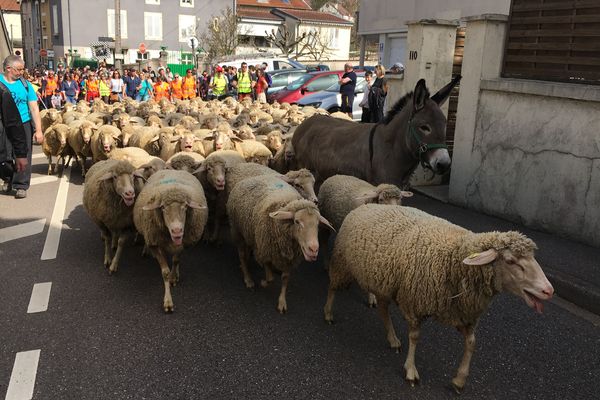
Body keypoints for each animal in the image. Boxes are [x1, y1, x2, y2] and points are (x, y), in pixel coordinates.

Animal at [134, 169, 209, 312]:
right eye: (163, 207)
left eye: (185, 207)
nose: (177, 230)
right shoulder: (155, 243)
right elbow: (165, 273)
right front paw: (168, 301)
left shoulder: (184, 243)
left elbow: (176, 260)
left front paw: (174, 277)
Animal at [227, 174, 336, 312]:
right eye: (297, 221)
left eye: (318, 224)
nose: (313, 249)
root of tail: (252, 177)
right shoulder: (263, 250)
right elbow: (270, 278)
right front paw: (263, 283)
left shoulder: (289, 258)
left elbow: (285, 278)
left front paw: (282, 301)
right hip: (237, 231)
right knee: (241, 254)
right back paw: (248, 278)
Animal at [324, 205, 552, 392]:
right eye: (511, 261)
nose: (548, 290)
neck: (456, 258)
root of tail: (364, 205)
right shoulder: (414, 303)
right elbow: (415, 337)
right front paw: (411, 370)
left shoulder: (461, 312)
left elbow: (471, 343)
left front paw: (459, 380)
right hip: (342, 263)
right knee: (333, 288)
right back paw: (328, 313)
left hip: (383, 281)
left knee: (382, 308)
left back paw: (393, 339)